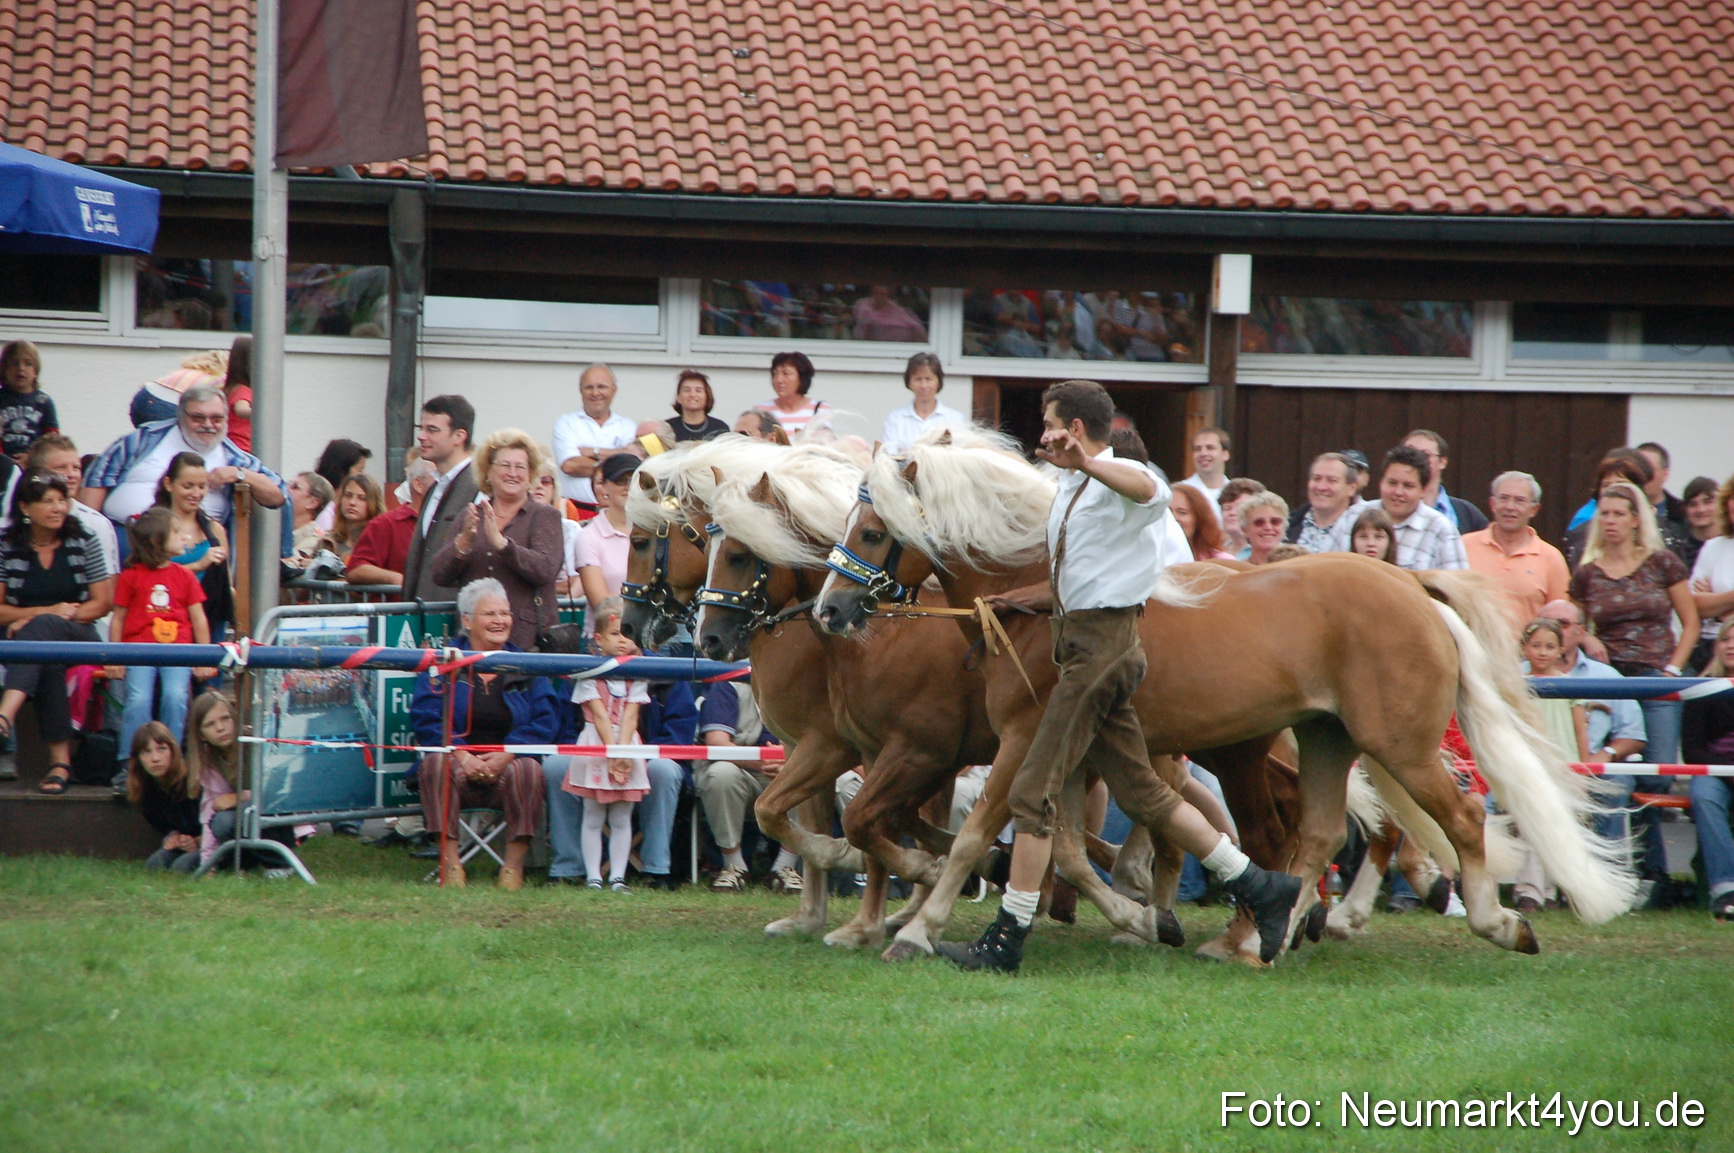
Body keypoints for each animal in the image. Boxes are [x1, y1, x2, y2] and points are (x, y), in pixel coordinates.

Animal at [813, 430, 1634, 964]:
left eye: (875, 530)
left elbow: (982, 833)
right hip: (1328, 739)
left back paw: (1494, 922)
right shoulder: (1076, 749)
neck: (1039, 598)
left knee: (1454, 817)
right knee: (1319, 833)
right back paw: (1263, 935)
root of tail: (1410, 586)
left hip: (1394, 742)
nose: (829, 610)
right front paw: (1140, 915)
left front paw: (919, 928)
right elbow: (1069, 849)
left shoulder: (1024, 738)